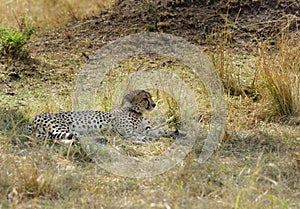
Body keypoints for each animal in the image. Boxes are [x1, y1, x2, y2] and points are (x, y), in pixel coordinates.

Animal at [28, 90, 183, 144]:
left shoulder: (146, 129)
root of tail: (33, 119)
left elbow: (157, 131)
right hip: (60, 127)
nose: (154, 104)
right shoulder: (126, 131)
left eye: (151, 97)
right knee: (71, 137)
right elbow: (135, 135)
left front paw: (173, 132)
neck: (136, 111)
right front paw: (144, 139)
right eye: (145, 98)